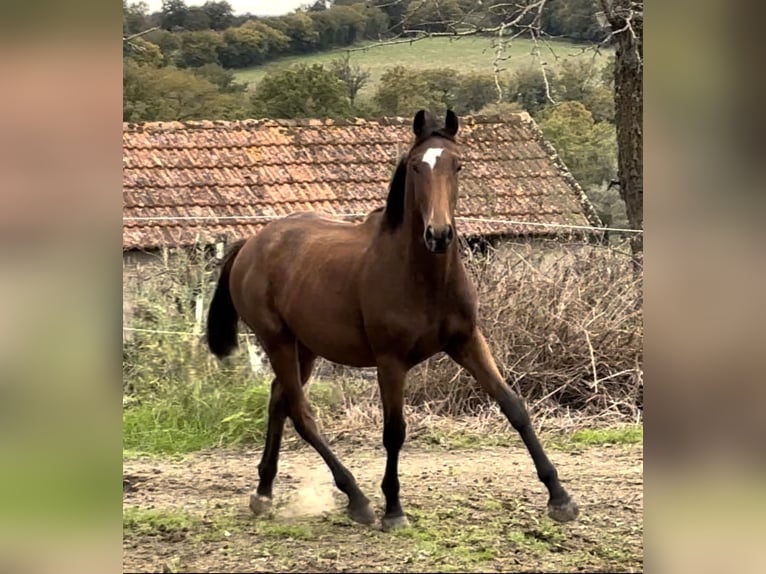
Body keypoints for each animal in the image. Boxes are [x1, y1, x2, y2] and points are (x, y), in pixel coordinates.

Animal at [207, 110, 580, 532]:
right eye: (417, 166)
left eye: (457, 164)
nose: (438, 234)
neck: (423, 278)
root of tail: (249, 245)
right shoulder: (390, 361)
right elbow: (394, 431)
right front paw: (393, 509)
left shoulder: (467, 341)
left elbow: (513, 406)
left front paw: (560, 497)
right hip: (277, 341)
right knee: (302, 415)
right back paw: (356, 499)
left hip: (305, 348)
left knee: (278, 401)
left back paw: (264, 493)